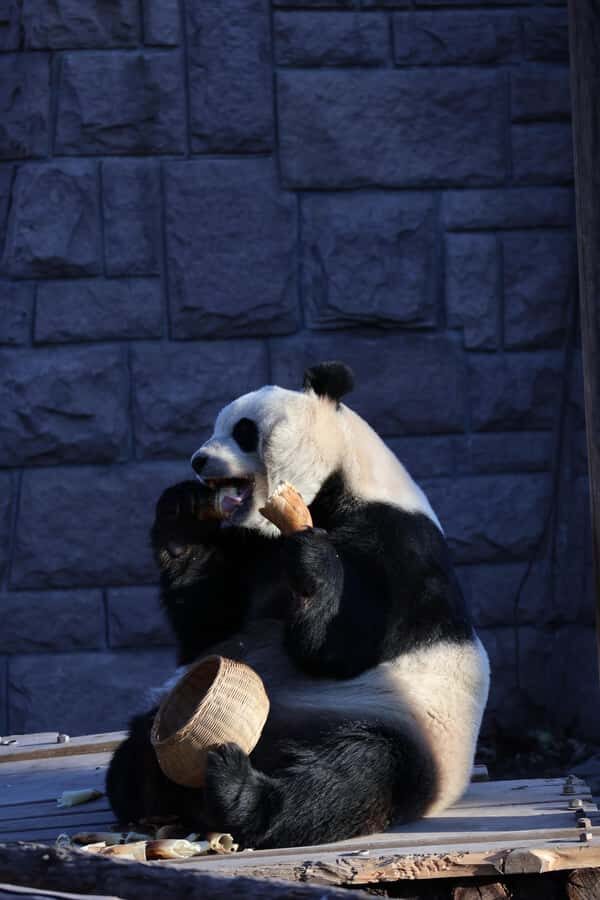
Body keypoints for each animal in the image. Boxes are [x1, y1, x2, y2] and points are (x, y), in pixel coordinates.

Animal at [107, 361, 490, 850]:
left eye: (244, 430)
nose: (198, 461)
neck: (332, 492)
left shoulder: (403, 547)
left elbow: (345, 648)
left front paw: (312, 560)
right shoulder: (253, 552)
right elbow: (208, 627)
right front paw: (181, 513)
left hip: (399, 727)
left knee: (351, 775)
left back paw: (239, 793)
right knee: (137, 749)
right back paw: (151, 792)